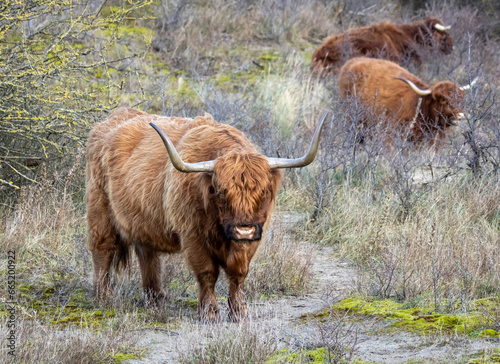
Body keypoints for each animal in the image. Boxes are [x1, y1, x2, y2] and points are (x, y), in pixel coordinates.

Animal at [86, 107, 326, 322]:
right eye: (220, 192)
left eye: (265, 191)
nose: (244, 230)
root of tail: (111, 120)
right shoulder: (193, 236)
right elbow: (207, 273)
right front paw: (209, 313)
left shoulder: (252, 238)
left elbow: (238, 273)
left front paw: (240, 312)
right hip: (99, 210)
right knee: (103, 251)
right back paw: (104, 298)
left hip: (142, 220)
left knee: (148, 255)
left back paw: (157, 299)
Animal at [338, 57, 474, 146]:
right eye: (444, 101)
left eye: (461, 100)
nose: (460, 115)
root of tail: (351, 62)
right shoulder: (391, 134)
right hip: (352, 121)